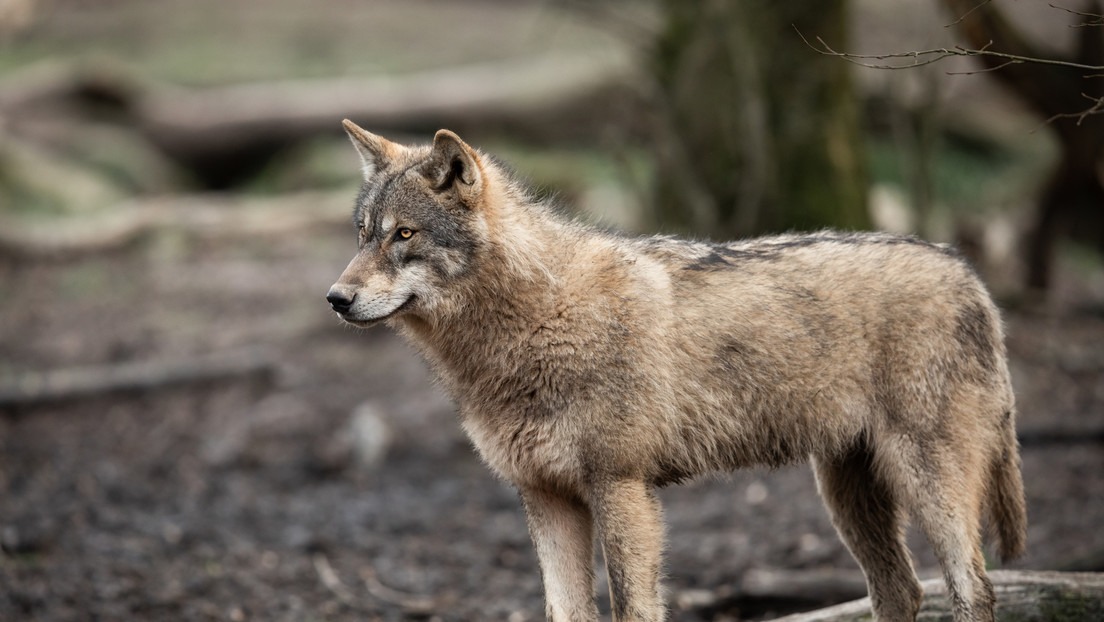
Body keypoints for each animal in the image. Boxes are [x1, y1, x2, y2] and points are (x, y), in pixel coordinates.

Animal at [324, 119, 1024, 618]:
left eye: (405, 235)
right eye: (362, 233)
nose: (335, 298)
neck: (538, 319)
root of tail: (967, 271)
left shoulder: (622, 488)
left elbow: (633, 609)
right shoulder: (546, 498)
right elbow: (564, 611)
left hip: (927, 480)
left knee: (973, 589)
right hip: (847, 493)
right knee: (902, 590)